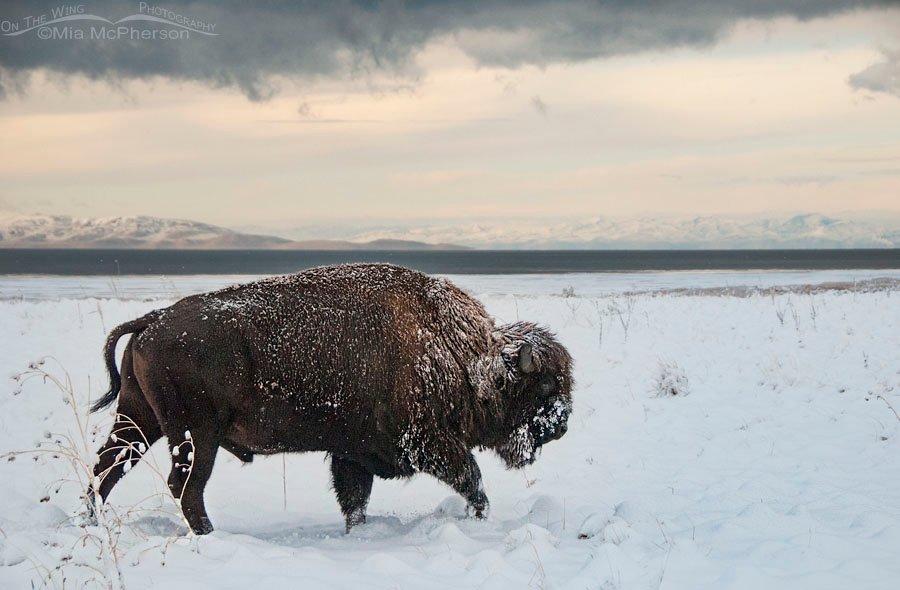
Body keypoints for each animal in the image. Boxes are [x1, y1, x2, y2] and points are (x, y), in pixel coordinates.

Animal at [87, 263, 573, 534]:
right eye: (545, 386)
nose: (563, 425)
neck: (463, 355)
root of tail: (152, 320)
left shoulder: (353, 454)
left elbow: (355, 501)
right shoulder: (431, 444)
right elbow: (472, 480)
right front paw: (482, 518)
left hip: (140, 419)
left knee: (106, 469)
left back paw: (90, 521)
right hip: (196, 434)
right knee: (184, 486)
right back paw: (209, 534)